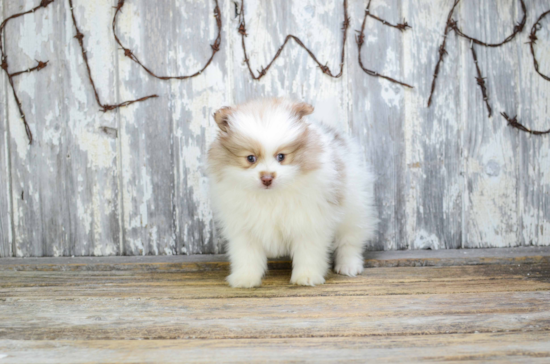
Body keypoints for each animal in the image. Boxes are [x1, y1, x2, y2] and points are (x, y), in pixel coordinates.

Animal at [208, 99, 380, 288]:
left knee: (349, 242)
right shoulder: (243, 228)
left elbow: (308, 253)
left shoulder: (309, 222)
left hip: (354, 211)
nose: (267, 178)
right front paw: (245, 279)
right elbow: (247, 255)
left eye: (281, 156)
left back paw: (349, 266)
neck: (271, 196)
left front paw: (307, 277)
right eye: (250, 158)